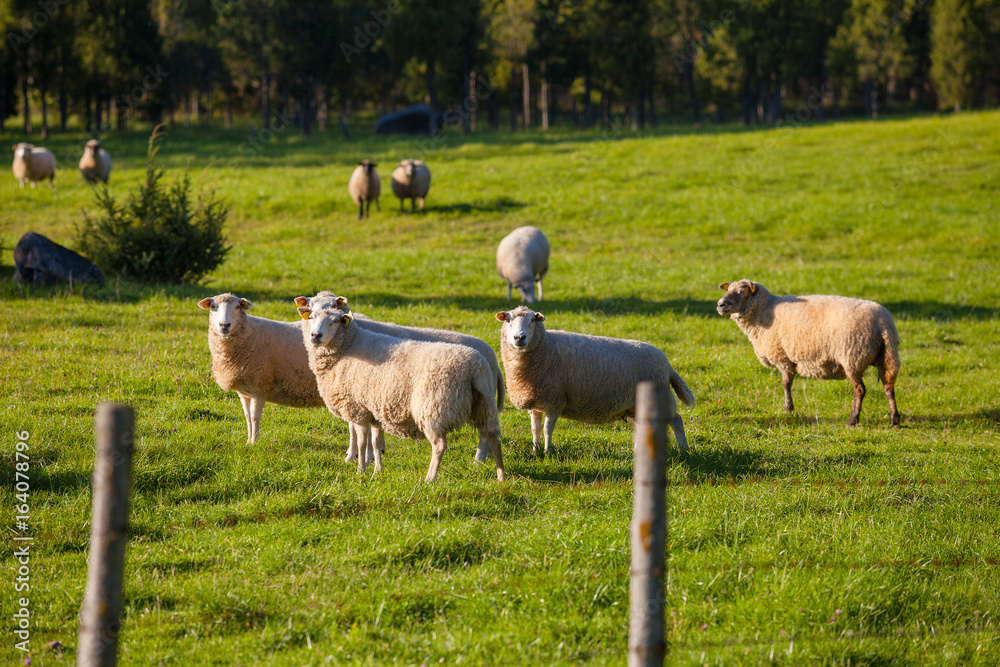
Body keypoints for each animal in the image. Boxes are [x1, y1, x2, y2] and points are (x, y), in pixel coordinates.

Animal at [197, 293, 378, 457]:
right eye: (213, 307)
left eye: (236, 307)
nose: (224, 325)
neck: (249, 334)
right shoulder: (244, 391)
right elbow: (247, 417)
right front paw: (248, 442)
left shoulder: (260, 386)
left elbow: (255, 417)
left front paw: (255, 443)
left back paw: (359, 455)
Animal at [297, 300, 506, 482]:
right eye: (311, 317)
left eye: (334, 321)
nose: (315, 336)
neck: (348, 346)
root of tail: (474, 368)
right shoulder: (374, 410)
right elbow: (375, 443)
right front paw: (377, 472)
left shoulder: (357, 409)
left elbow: (362, 443)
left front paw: (360, 471)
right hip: (485, 406)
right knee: (494, 438)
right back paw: (501, 476)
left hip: (433, 408)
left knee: (440, 445)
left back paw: (430, 478)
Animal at [495, 306, 695, 455]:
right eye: (508, 320)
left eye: (532, 320)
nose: (519, 337)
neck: (545, 348)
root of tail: (667, 363)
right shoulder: (535, 402)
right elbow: (535, 429)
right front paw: (535, 452)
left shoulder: (555, 400)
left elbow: (546, 429)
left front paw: (548, 452)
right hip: (635, 406)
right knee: (643, 426)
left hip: (661, 398)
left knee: (677, 421)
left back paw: (683, 449)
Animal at [716, 279, 901, 427]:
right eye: (727, 289)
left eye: (741, 292)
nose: (720, 305)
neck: (766, 309)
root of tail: (883, 323)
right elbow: (787, 383)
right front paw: (789, 408)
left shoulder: (783, 357)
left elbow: (786, 383)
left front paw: (788, 409)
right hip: (887, 356)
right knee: (889, 388)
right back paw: (894, 421)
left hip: (852, 357)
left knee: (860, 390)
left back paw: (852, 420)